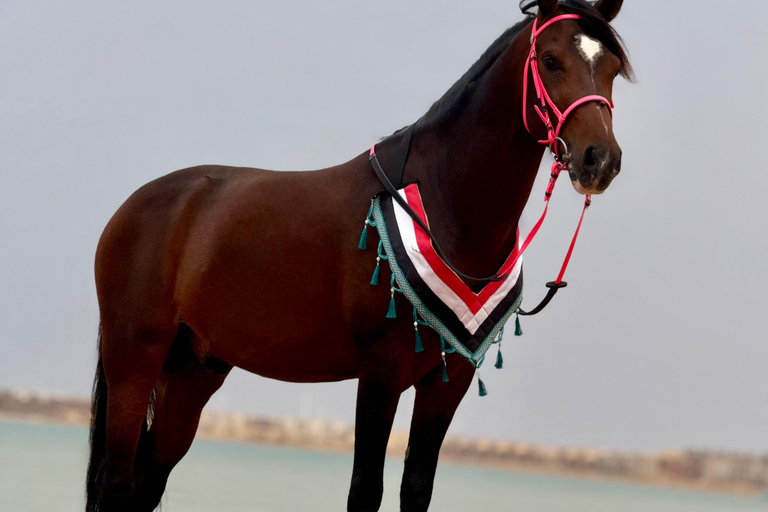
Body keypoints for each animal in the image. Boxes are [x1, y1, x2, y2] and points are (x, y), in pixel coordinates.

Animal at [86, 0, 632, 510]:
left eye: (611, 69)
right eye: (550, 60)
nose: (600, 160)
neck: (443, 202)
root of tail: (137, 205)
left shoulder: (447, 381)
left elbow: (416, 488)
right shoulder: (381, 371)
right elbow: (365, 490)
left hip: (191, 375)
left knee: (145, 483)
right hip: (134, 361)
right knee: (115, 484)